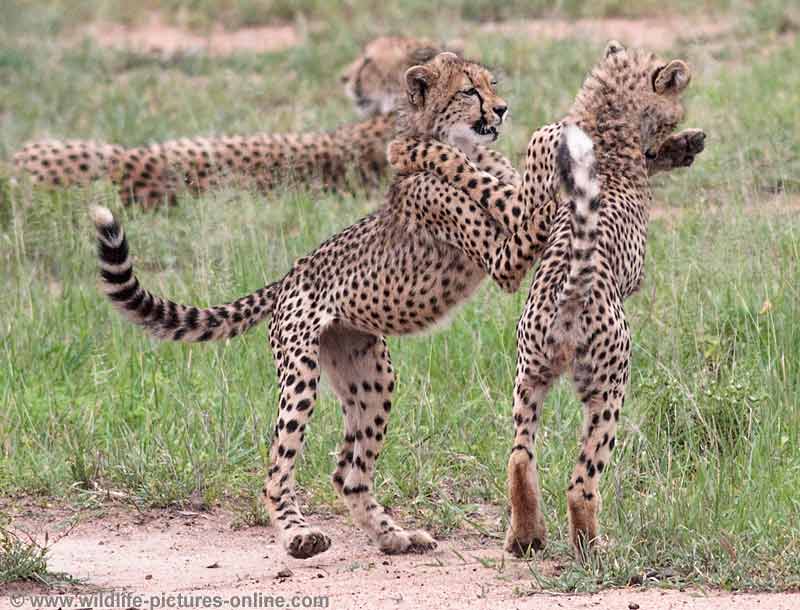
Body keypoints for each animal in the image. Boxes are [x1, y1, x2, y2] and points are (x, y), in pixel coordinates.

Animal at [390, 40, 704, 560]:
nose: (681, 126)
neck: (607, 115)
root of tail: (569, 293)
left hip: (527, 377)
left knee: (519, 455)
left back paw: (525, 537)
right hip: (609, 386)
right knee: (581, 479)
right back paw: (591, 548)